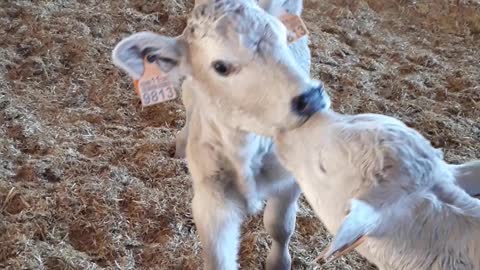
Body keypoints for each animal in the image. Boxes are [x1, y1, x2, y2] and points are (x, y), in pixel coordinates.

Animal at [112, 1, 312, 268]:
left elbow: (280, 226)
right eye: (221, 67)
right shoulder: (211, 202)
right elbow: (217, 258)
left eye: (283, 36)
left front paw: (278, 263)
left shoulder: (290, 180)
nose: (312, 97)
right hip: (188, 90)